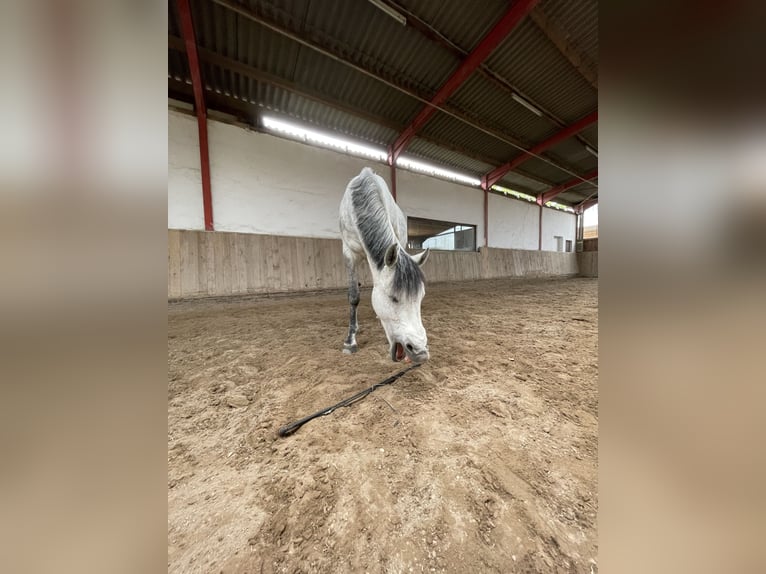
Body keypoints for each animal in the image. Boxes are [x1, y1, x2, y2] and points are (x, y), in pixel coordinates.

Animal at [339, 167, 430, 363]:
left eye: (421, 297)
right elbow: (354, 296)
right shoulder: (349, 254)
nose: (420, 352)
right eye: (393, 298)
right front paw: (350, 342)